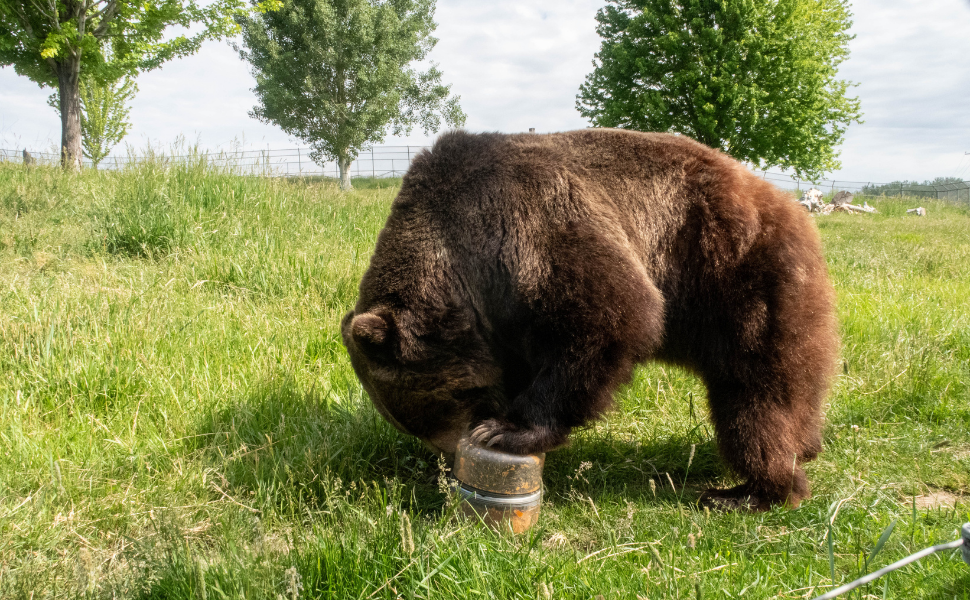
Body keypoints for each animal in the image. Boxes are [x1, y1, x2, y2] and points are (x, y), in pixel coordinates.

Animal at [341, 128, 838, 510]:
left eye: (434, 410)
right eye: (415, 424)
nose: (449, 463)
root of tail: (790, 205)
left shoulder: (530, 224)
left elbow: (611, 315)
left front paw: (508, 430)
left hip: (739, 278)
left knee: (754, 399)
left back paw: (750, 491)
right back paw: (806, 446)